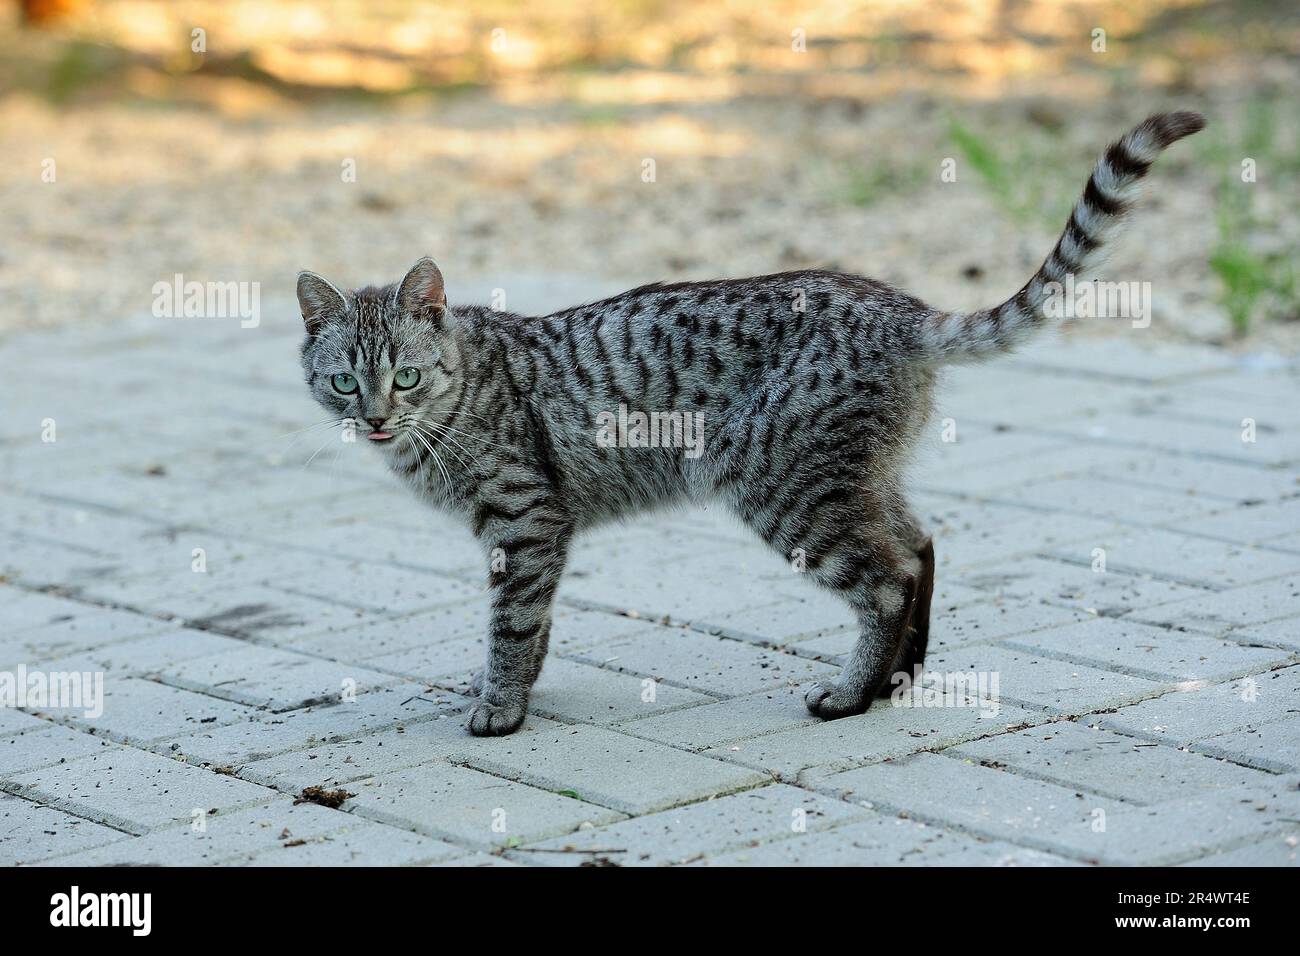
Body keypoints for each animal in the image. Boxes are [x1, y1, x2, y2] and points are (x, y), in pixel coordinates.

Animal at [299, 113, 1201, 738]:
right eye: (345, 381)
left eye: (405, 377)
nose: (374, 417)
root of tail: (901, 309)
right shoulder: (532, 533)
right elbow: (538, 620)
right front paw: (514, 685)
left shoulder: (526, 519)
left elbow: (514, 622)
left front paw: (503, 702)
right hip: (855, 476)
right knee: (919, 545)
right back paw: (897, 678)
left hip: (782, 488)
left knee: (887, 578)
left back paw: (852, 693)